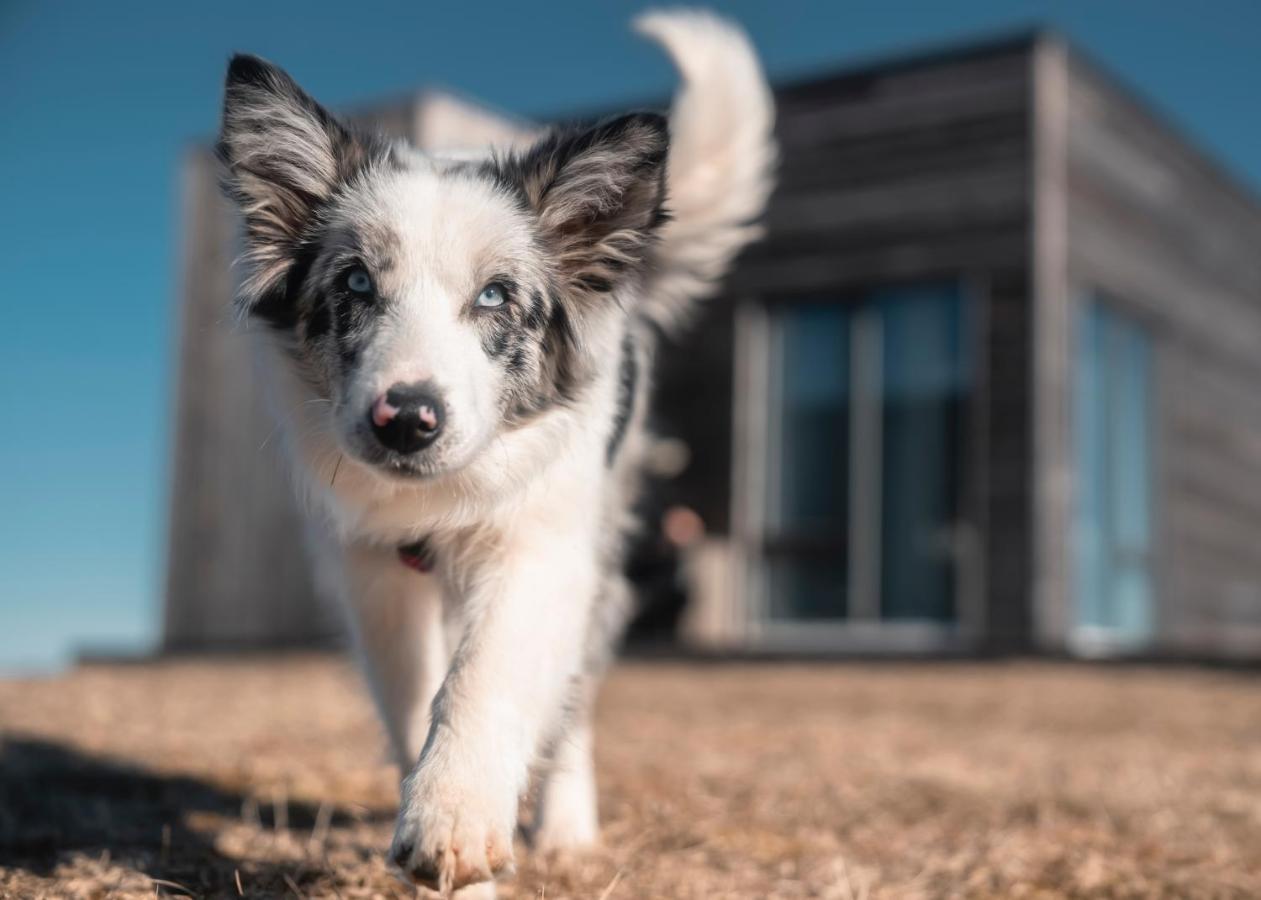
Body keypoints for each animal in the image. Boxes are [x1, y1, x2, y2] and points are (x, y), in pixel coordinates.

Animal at [214, 10, 776, 892]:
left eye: (494, 297)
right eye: (356, 284)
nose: (406, 420)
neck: (442, 497)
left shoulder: (542, 544)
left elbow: (486, 675)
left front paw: (456, 821)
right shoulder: (372, 571)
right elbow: (415, 694)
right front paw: (438, 823)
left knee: (572, 700)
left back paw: (567, 826)